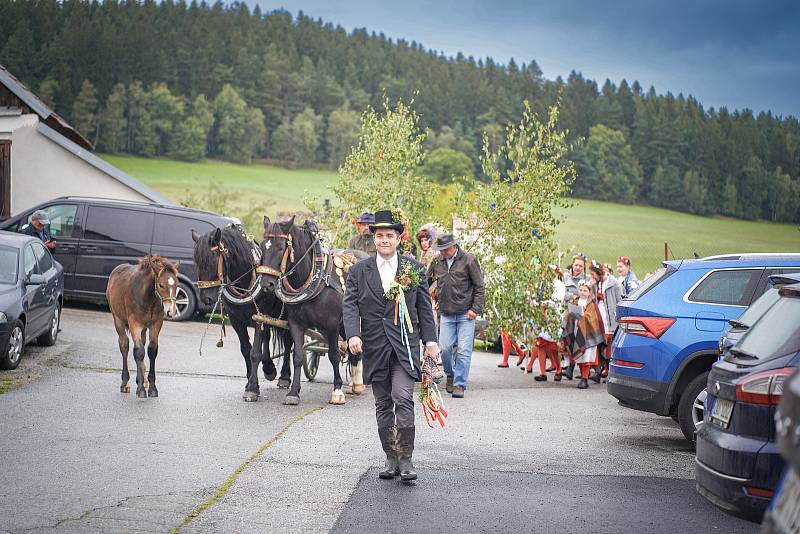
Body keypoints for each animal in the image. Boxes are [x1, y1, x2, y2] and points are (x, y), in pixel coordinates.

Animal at [193, 223, 294, 402]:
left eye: (213, 259)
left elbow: (255, 353)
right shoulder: (237, 320)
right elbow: (246, 350)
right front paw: (250, 382)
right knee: (267, 339)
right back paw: (269, 368)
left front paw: (252, 388)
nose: (206, 298)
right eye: (196, 260)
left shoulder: (259, 319)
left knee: (288, 342)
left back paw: (284, 376)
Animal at [260, 217, 366, 406]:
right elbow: (297, 356)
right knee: (353, 345)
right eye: (262, 246)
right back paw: (355, 384)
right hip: (347, 322)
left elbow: (334, 355)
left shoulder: (332, 324)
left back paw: (359, 382)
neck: (315, 278)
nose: (266, 284)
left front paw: (337, 390)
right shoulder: (296, 324)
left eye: (280, 247)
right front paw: (293, 392)